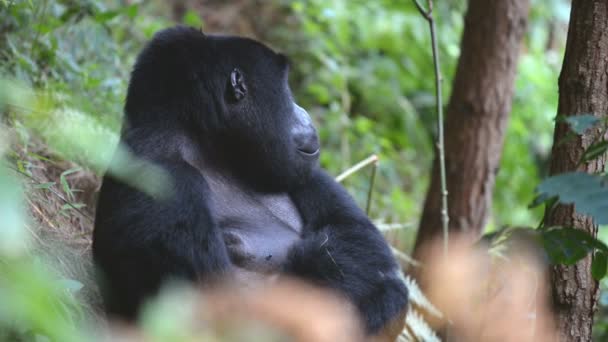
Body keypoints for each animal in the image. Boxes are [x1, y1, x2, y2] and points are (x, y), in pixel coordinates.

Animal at [92, 25, 408, 336]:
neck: (207, 146)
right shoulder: (161, 176)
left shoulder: (307, 173)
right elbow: (217, 311)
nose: (304, 112)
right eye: (286, 89)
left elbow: (356, 233)